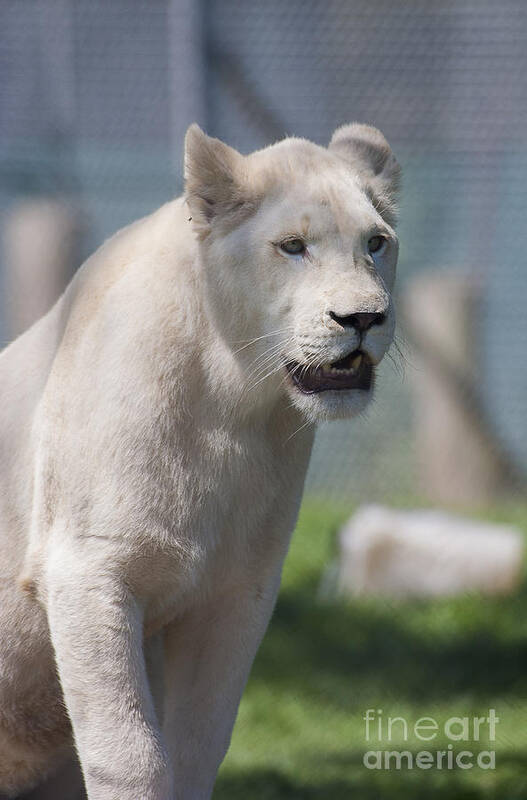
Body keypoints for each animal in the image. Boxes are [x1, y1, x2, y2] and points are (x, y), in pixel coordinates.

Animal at [0, 122, 400, 796]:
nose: (365, 318)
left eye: (376, 243)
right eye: (293, 247)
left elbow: (199, 744)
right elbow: (128, 750)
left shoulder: (237, 588)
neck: (232, 404)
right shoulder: (86, 568)